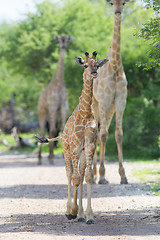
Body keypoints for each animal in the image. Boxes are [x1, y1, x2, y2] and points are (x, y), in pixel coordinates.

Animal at [35, 52, 108, 223]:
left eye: (97, 65)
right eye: (85, 65)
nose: (94, 73)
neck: (86, 114)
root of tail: (62, 136)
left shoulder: (90, 145)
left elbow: (87, 176)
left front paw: (88, 215)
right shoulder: (74, 146)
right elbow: (74, 177)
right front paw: (72, 211)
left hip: (81, 152)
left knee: (79, 174)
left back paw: (79, 214)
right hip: (66, 149)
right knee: (69, 172)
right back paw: (70, 210)